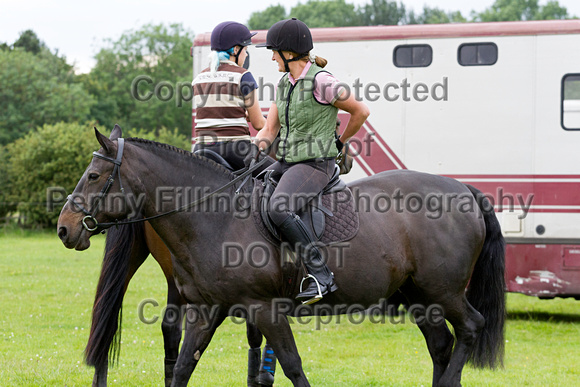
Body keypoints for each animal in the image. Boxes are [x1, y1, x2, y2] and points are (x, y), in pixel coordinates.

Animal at [56, 128, 506, 387]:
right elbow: (183, 367)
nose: (64, 227)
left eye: (93, 176)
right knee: (441, 344)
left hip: (443, 291)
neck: (216, 216)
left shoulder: (266, 309)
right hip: (419, 297)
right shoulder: (206, 310)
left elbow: (292, 366)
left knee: (471, 327)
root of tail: (464, 190)